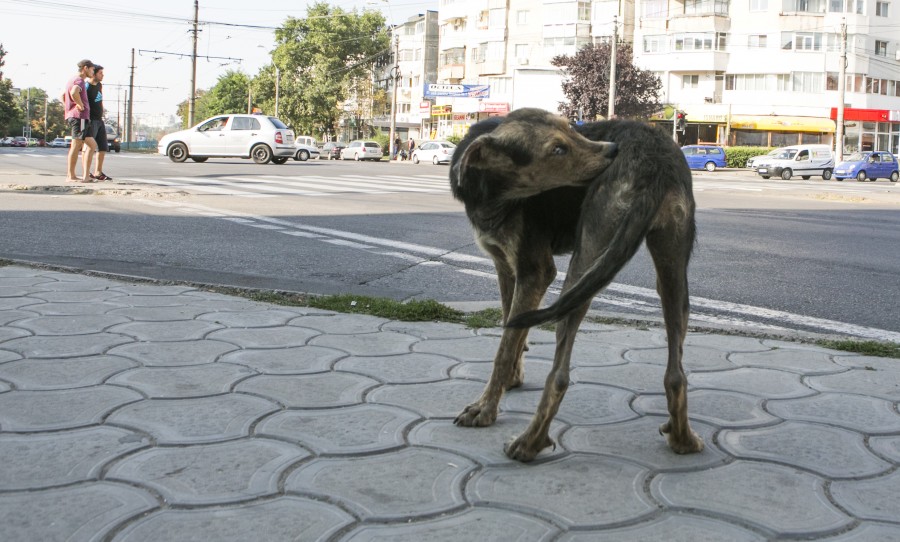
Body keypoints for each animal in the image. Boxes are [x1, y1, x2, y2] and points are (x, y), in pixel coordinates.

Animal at [450, 109, 704, 464]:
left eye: (572, 129)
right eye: (558, 149)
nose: (612, 150)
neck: (494, 192)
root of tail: (655, 158)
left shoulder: (535, 270)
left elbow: (505, 345)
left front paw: (485, 408)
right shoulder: (505, 266)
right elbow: (511, 329)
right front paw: (512, 378)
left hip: (584, 266)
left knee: (559, 375)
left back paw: (529, 443)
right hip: (672, 266)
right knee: (676, 374)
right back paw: (683, 439)